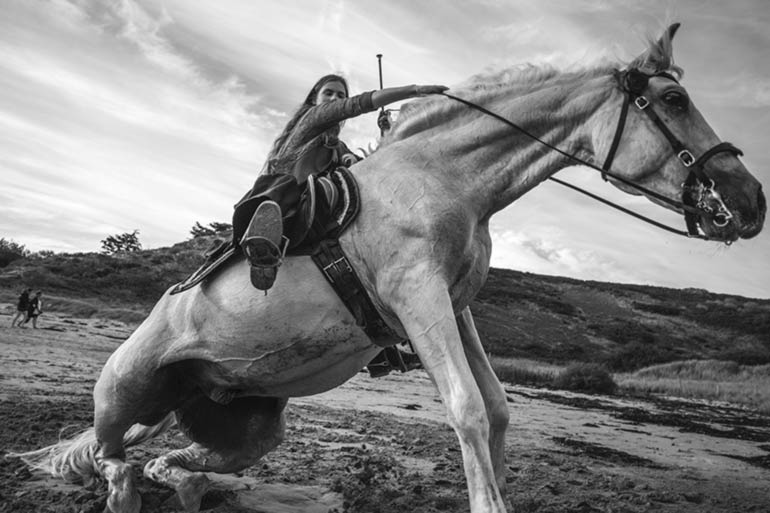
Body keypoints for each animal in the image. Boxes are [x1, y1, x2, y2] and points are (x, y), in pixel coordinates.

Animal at [12, 24, 760, 512]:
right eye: (673, 102)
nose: (750, 201)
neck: (444, 177)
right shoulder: (417, 297)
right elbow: (467, 409)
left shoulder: (456, 305)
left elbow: (497, 407)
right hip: (127, 389)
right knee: (111, 457)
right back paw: (126, 491)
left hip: (251, 423)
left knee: (169, 459)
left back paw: (186, 484)